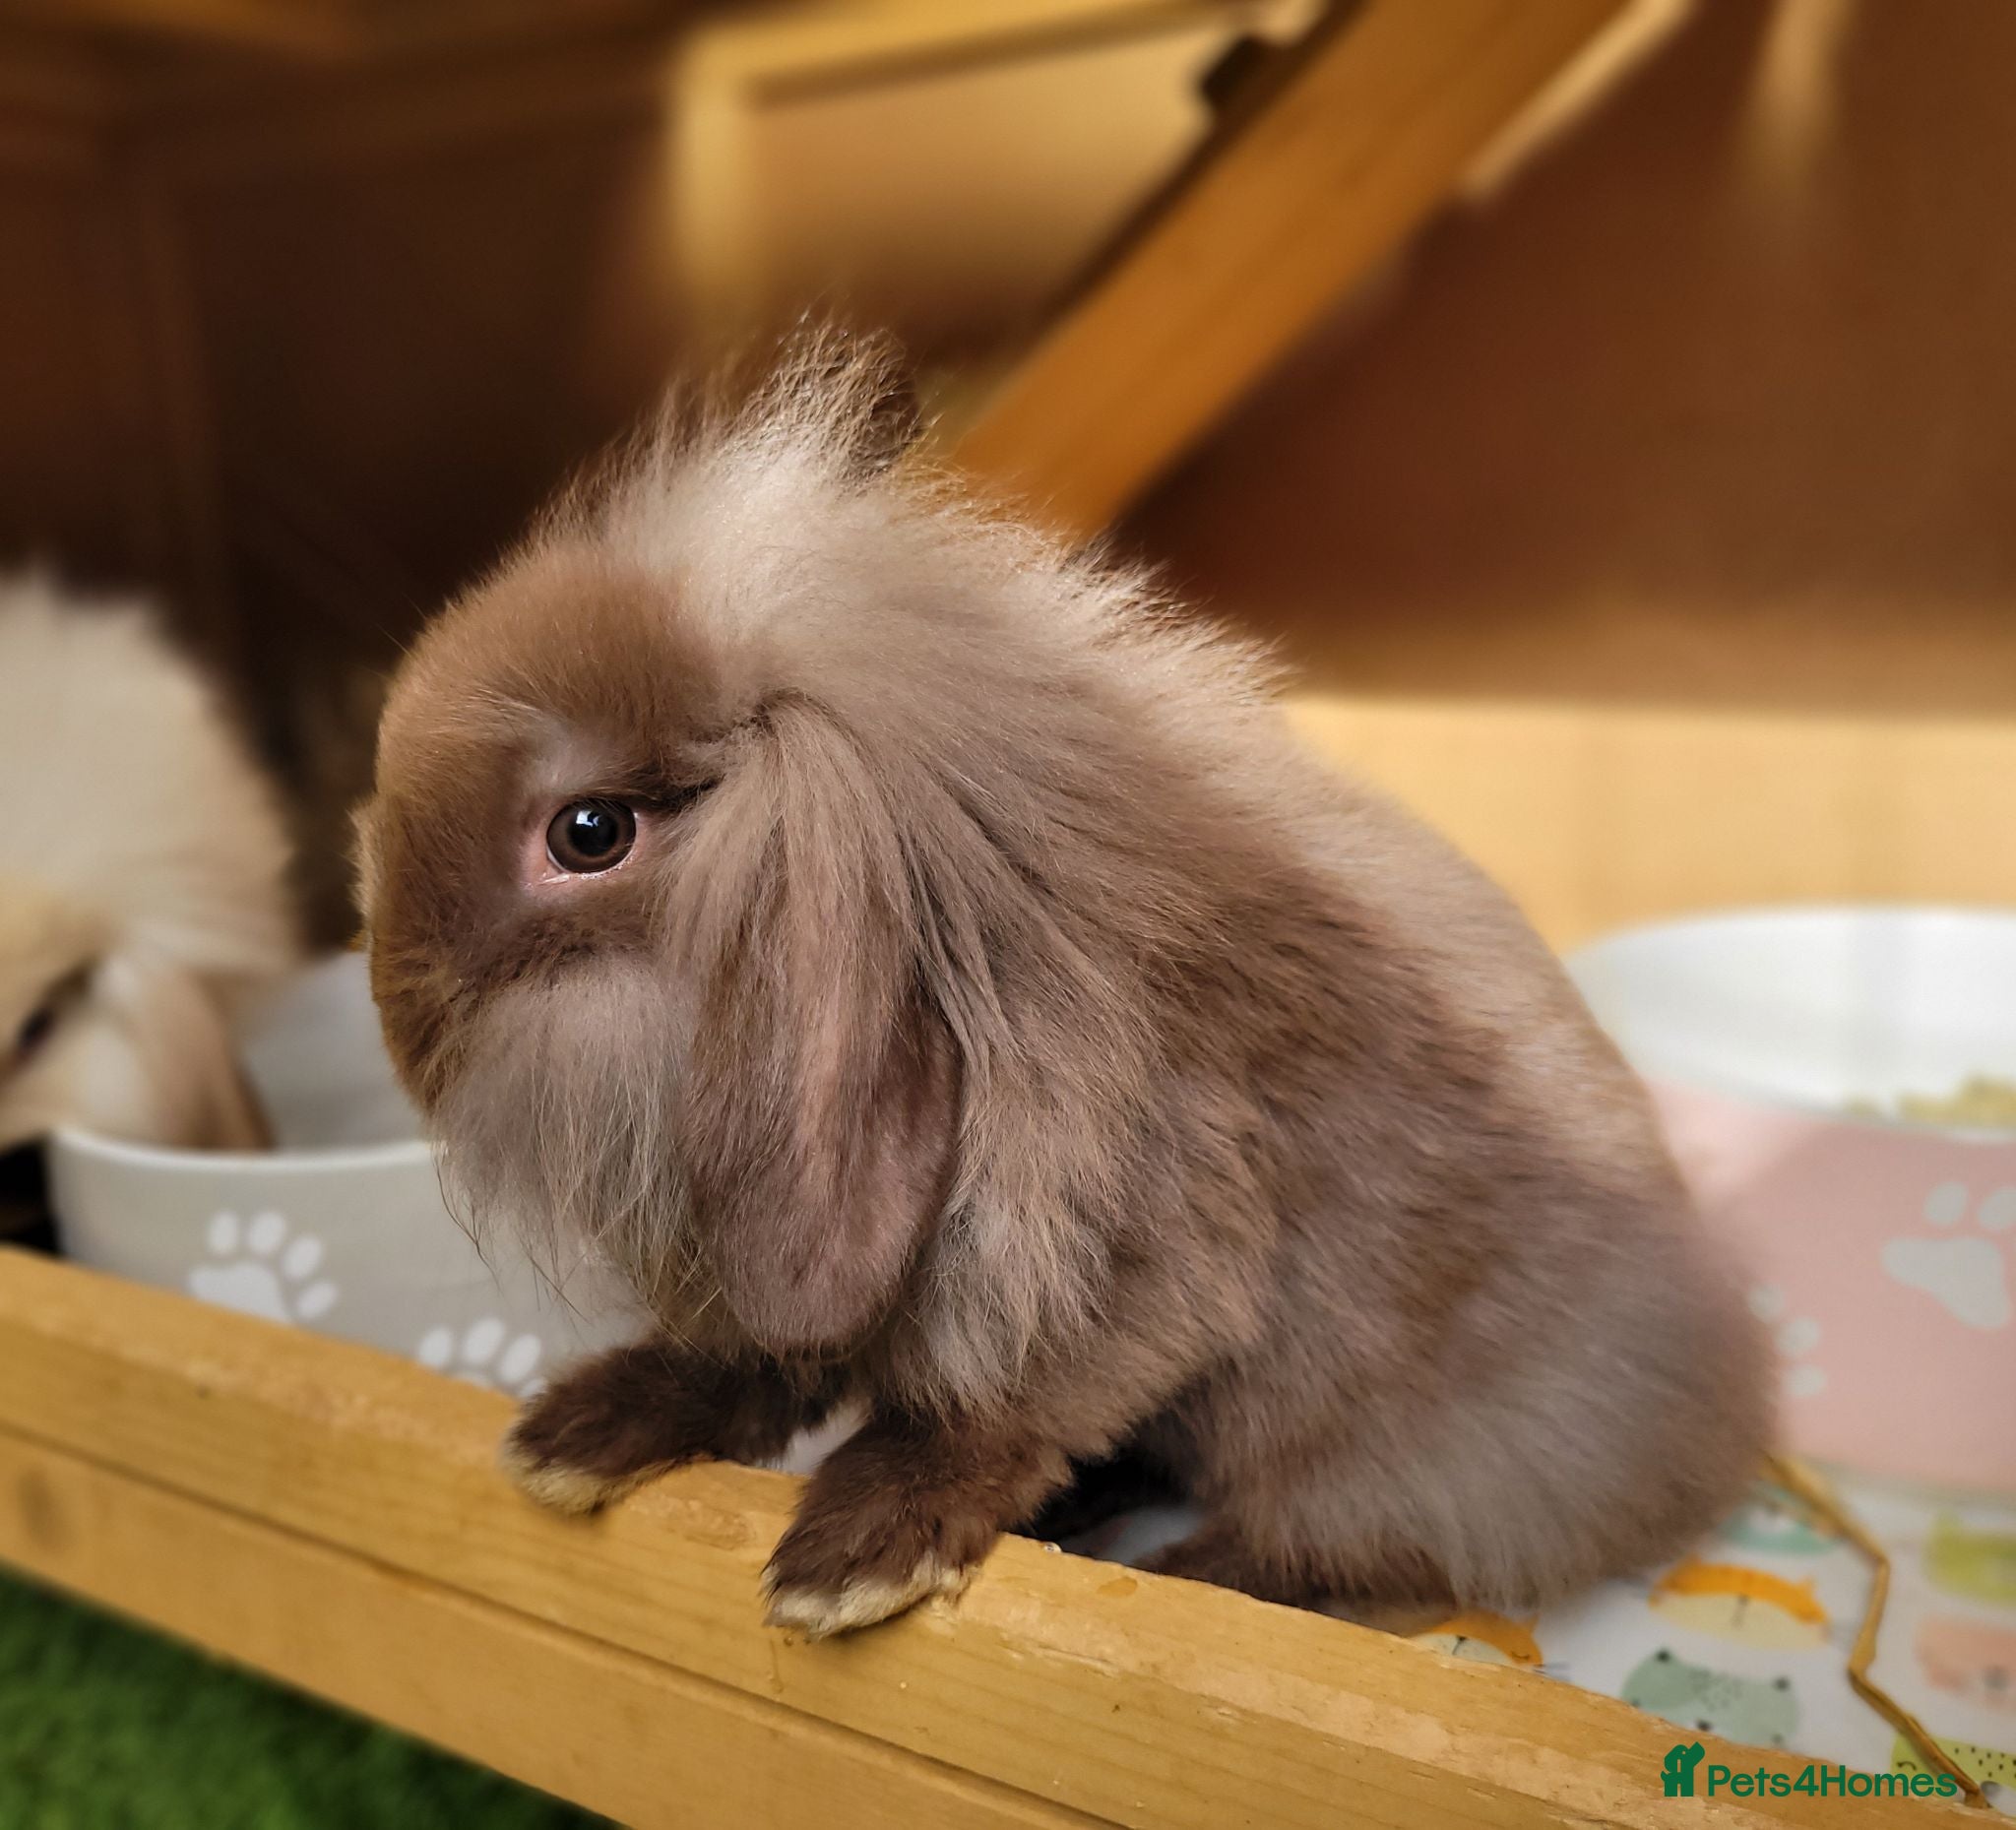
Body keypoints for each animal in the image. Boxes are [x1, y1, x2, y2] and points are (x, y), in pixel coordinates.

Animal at [355, 335, 1772, 1639]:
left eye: (589, 832)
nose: (401, 1025)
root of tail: (1709, 1412)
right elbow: (758, 1363)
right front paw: (571, 1436)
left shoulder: (1134, 1258)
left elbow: (993, 1412)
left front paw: (850, 1561)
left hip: (1421, 1449)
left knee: (1337, 1547)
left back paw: (1179, 1572)